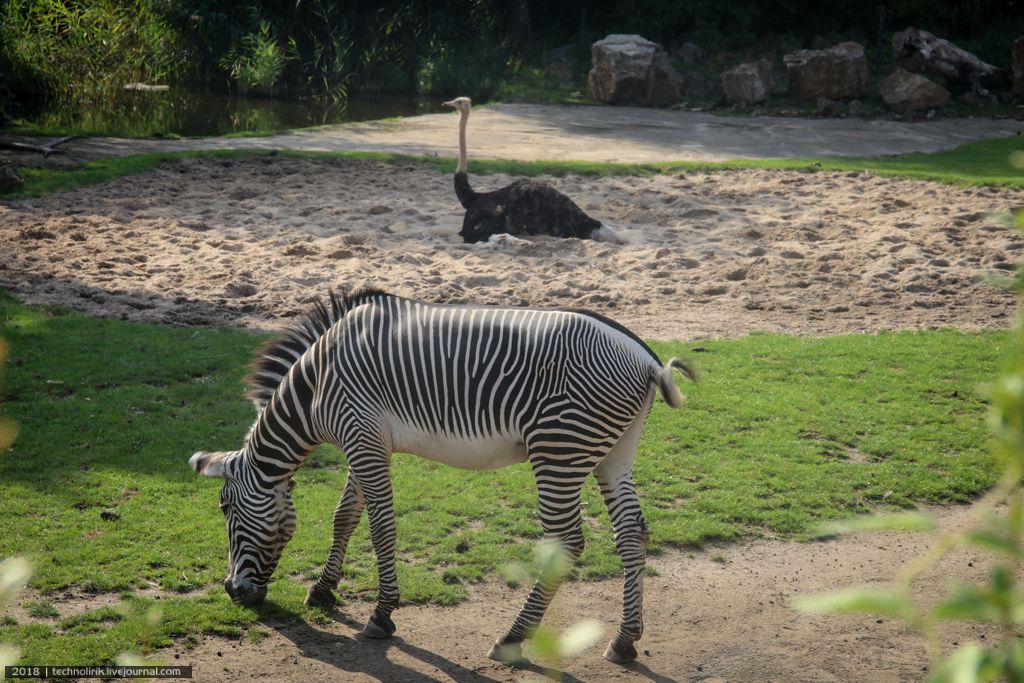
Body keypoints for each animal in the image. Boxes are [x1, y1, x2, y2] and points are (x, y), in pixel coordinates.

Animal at [188, 286, 696, 663]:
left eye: (225, 507)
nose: (233, 592)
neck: (314, 386)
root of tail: (647, 359)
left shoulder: (362, 438)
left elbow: (381, 528)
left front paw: (381, 614)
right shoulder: (364, 442)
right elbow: (344, 517)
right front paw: (322, 590)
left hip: (558, 450)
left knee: (568, 541)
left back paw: (512, 638)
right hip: (615, 453)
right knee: (632, 533)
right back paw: (624, 641)